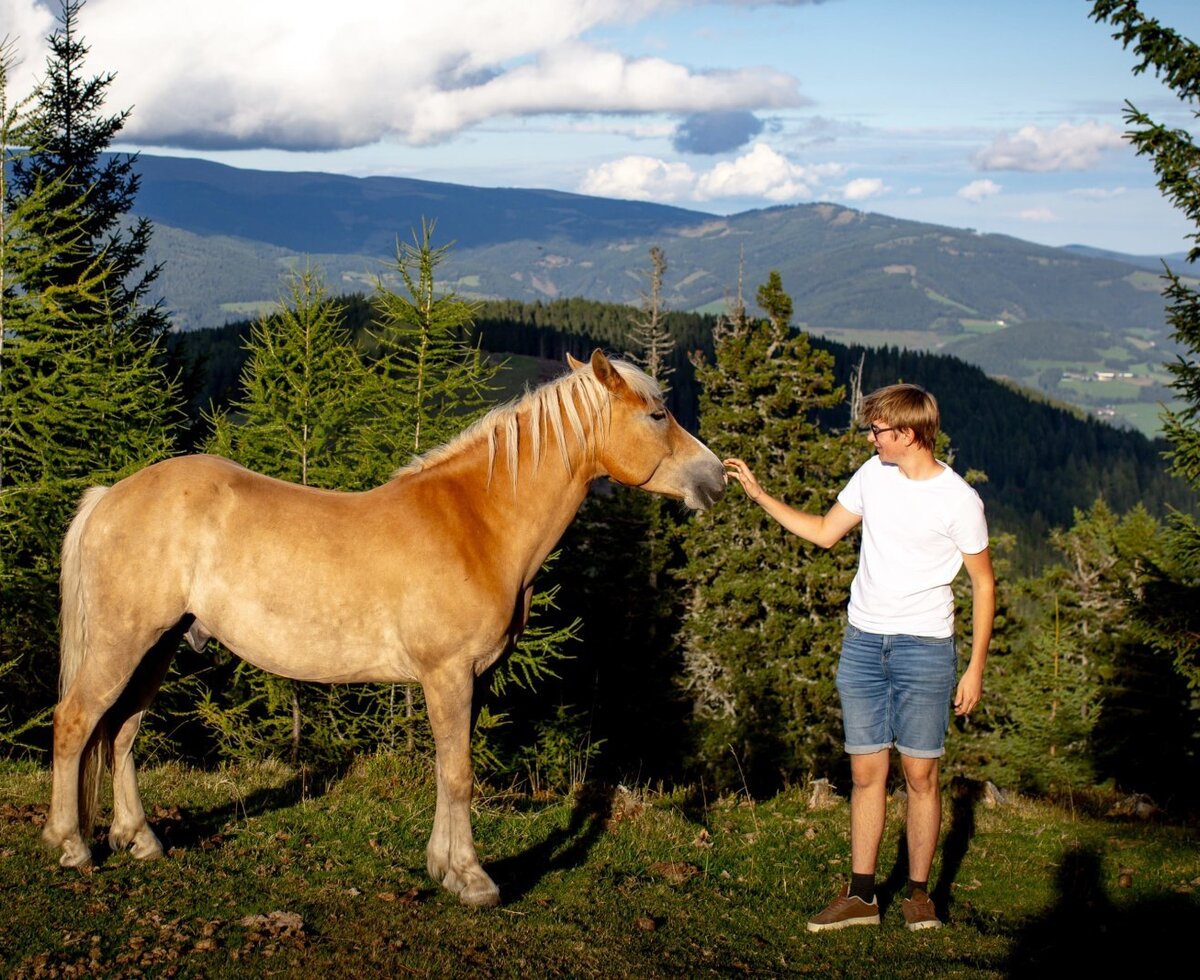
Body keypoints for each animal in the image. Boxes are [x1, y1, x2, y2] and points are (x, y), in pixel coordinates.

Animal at [42, 349, 726, 906]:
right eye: (657, 415)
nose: (717, 477)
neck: (476, 522)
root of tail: (110, 495)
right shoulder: (447, 675)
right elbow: (459, 775)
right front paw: (473, 880)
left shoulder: (468, 680)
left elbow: (450, 771)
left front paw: (443, 868)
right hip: (123, 641)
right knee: (76, 721)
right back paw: (72, 845)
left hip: (156, 645)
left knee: (122, 730)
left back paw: (140, 838)